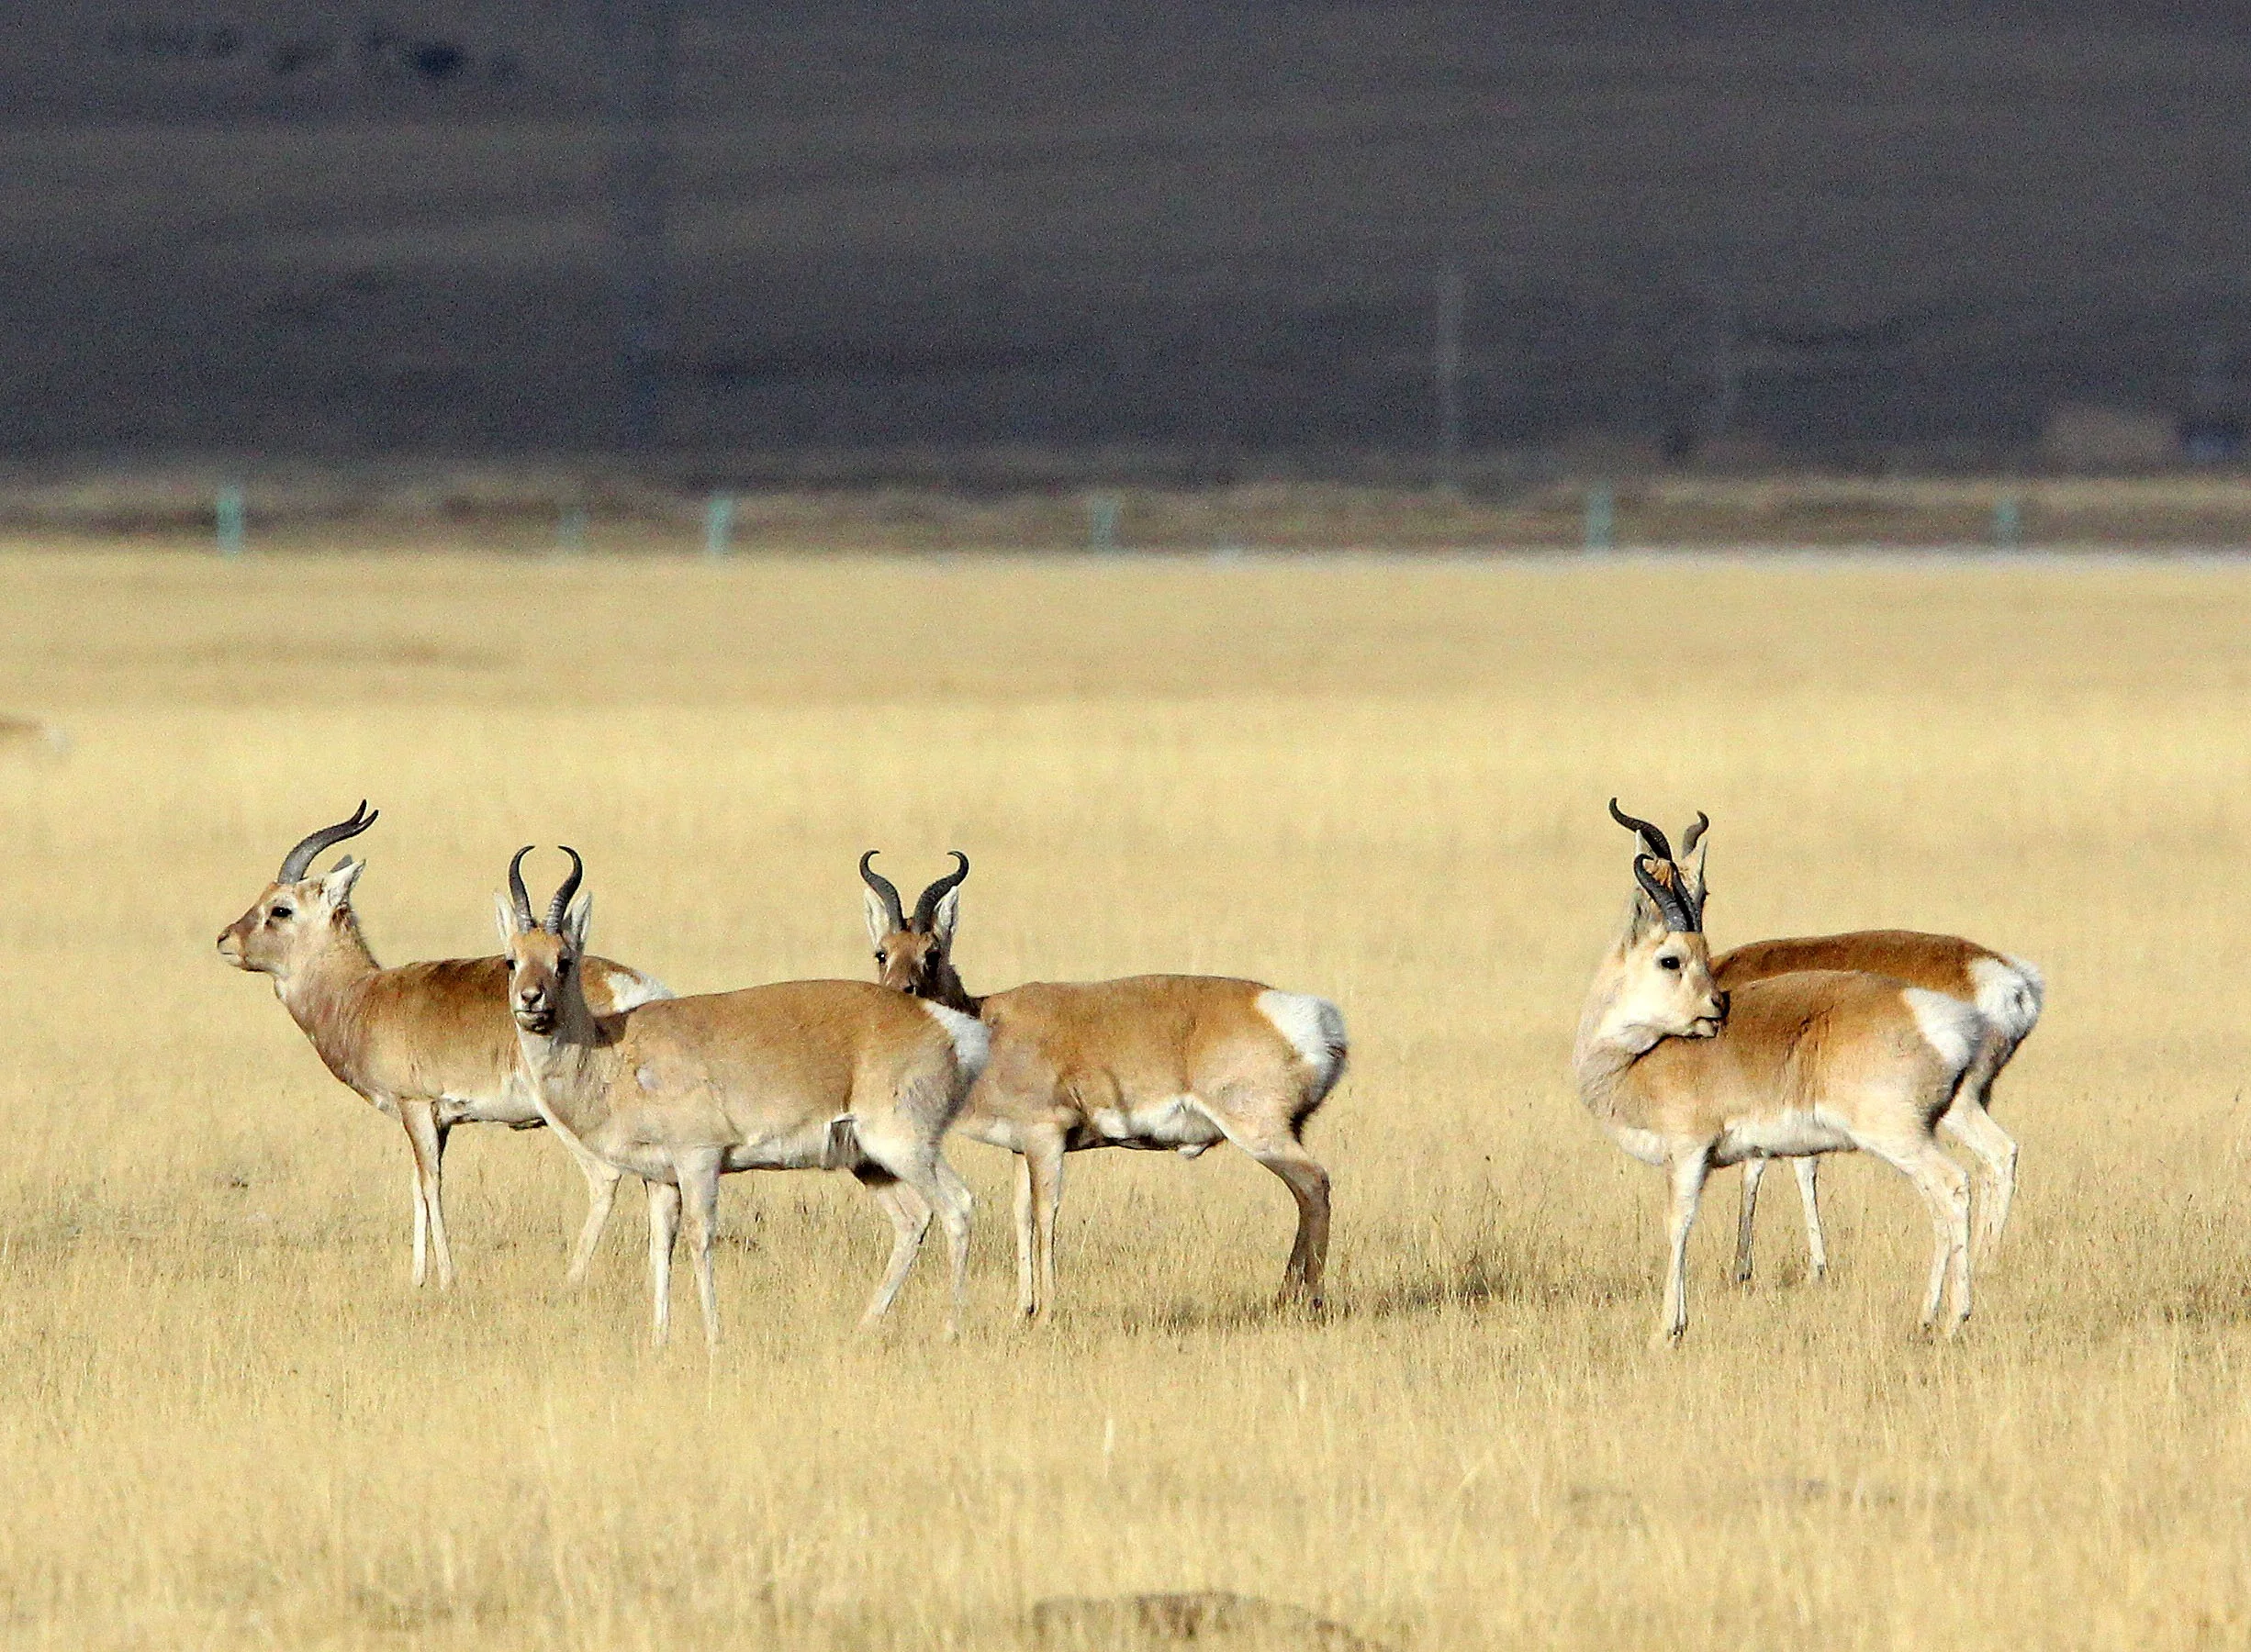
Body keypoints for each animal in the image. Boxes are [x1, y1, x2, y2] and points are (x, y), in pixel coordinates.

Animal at [217, 803, 672, 1288]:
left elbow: (431, 1184)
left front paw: (447, 1277)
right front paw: (418, 1278)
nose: (225, 939)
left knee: (605, 1176)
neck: (363, 996)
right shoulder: (437, 1121)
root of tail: (643, 990)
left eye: (280, 908)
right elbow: (417, 1185)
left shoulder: (416, 1106)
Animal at [497, 848, 986, 1346]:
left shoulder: (699, 1160)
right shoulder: (660, 1179)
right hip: (871, 1163)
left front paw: (713, 1337)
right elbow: (660, 1247)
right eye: (512, 960)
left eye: (564, 960)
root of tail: (946, 1025)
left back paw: (949, 1330)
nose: (531, 1000)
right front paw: (659, 1340)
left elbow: (699, 1237)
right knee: (912, 1220)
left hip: (906, 1150)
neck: (615, 1048)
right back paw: (863, 1327)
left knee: (958, 1207)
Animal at [858, 851, 1347, 1318]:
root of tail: (1307, 1014)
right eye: (882, 952)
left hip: (1260, 1135)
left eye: (932, 951)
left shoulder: (1047, 1140)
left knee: (1314, 1185)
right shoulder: (1021, 1149)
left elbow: (1046, 1215)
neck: (989, 1021)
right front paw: (1022, 1310)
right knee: (1304, 1195)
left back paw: (1309, 1301)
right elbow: (1022, 1217)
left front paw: (1047, 1312)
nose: (899, 993)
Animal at [1573, 804, 1982, 1343]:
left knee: (1954, 1186)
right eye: (1672, 959)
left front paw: (1669, 1328)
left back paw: (1955, 1319)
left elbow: (1679, 1224)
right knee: (1939, 1202)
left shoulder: (1688, 1152)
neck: (1640, 1059)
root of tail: (1936, 1015)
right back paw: (1928, 1316)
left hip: (1901, 1137)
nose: (1718, 1008)